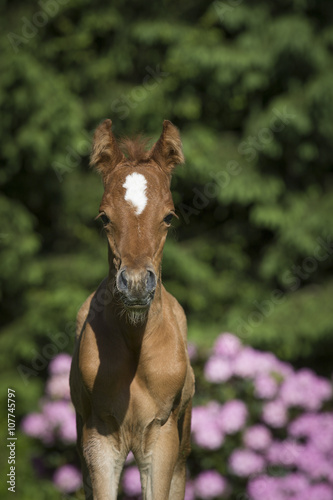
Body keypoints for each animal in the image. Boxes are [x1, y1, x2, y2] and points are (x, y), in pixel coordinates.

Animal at [70, 119, 195, 498]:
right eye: (103, 217)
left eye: (169, 216)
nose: (137, 283)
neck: (135, 343)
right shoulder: (99, 439)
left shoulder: (161, 437)